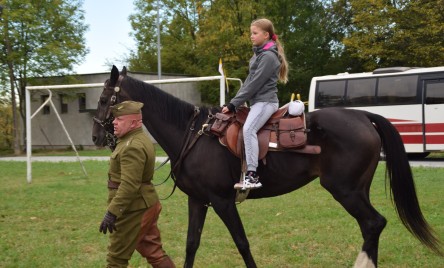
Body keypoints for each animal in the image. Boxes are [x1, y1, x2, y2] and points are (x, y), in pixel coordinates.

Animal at [93, 66, 440, 266]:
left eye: (103, 99)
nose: (97, 135)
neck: (193, 135)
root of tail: (363, 116)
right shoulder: (198, 201)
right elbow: (192, 244)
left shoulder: (222, 201)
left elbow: (242, 244)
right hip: (356, 190)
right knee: (372, 226)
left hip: (346, 190)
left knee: (373, 223)